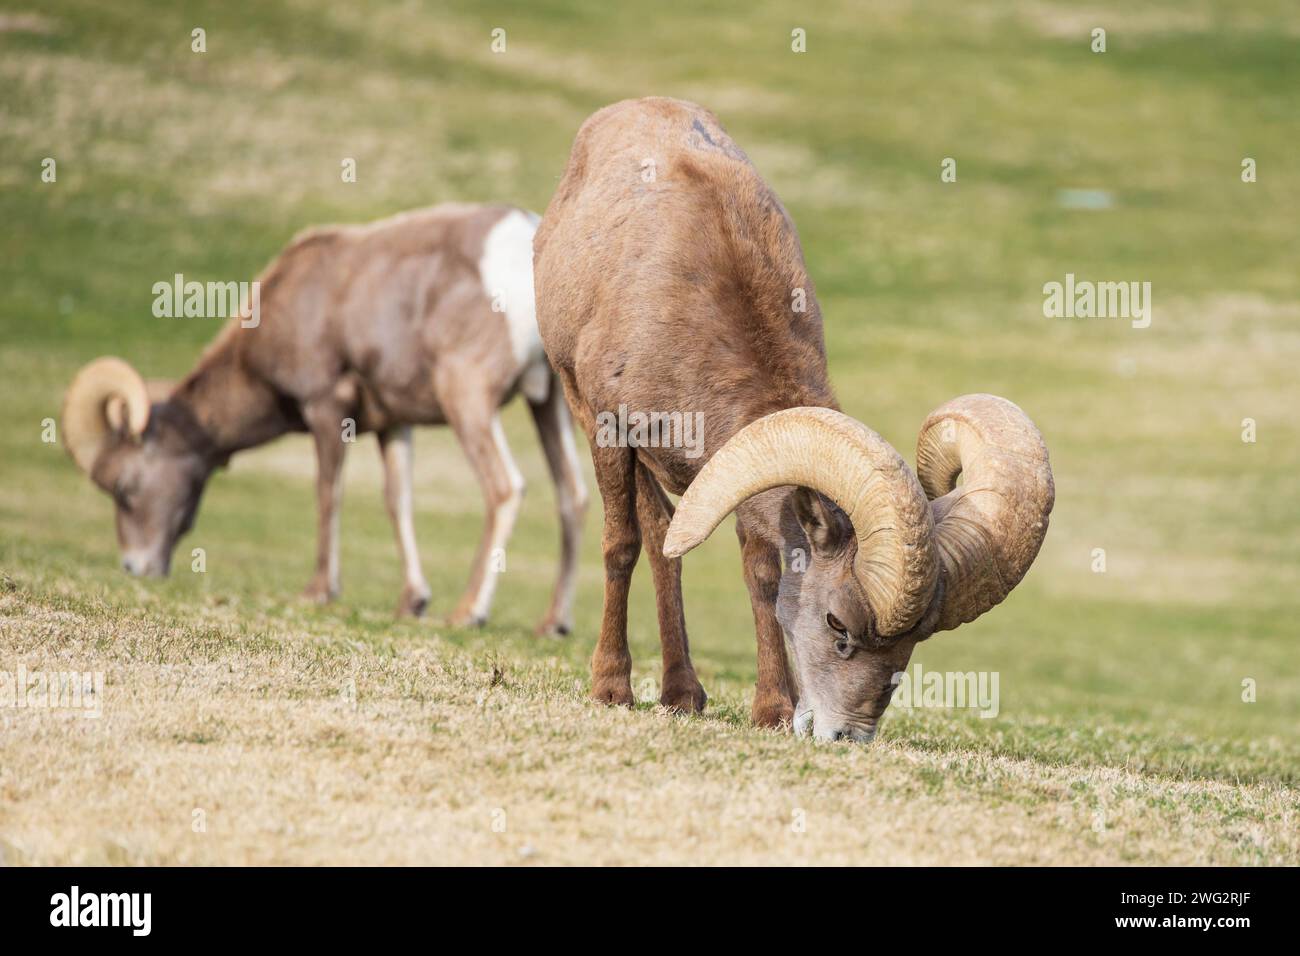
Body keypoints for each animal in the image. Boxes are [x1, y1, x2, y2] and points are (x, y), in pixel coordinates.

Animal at [62, 205, 590, 632]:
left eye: (125, 487)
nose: (135, 568)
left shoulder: (326, 407)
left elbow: (327, 493)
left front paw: (319, 591)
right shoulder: (394, 423)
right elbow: (398, 501)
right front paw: (411, 602)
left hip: (467, 398)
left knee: (504, 489)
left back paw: (467, 614)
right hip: (549, 404)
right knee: (574, 496)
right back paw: (553, 624)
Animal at [533, 98, 1050, 738]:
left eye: (911, 647)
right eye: (837, 624)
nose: (845, 736)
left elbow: (761, 573)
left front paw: (772, 710)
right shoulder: (608, 427)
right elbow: (619, 544)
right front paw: (610, 689)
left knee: (665, 539)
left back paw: (683, 694)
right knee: (649, 537)